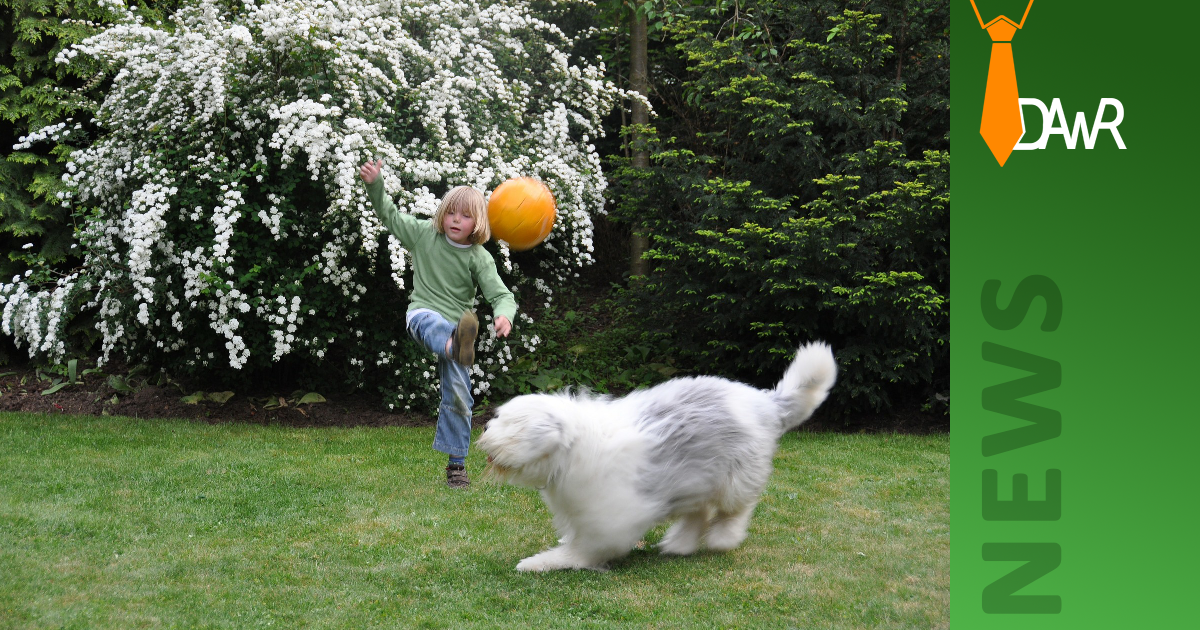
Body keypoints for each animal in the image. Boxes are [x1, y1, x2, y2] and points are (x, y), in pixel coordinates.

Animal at [475, 340, 835, 571]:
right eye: (499, 418)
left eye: (513, 427)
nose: (485, 436)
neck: (570, 450)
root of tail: (766, 402)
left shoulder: (609, 521)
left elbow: (584, 550)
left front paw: (541, 562)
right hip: (696, 475)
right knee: (700, 511)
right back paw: (680, 544)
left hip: (737, 476)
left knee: (735, 509)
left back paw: (723, 538)